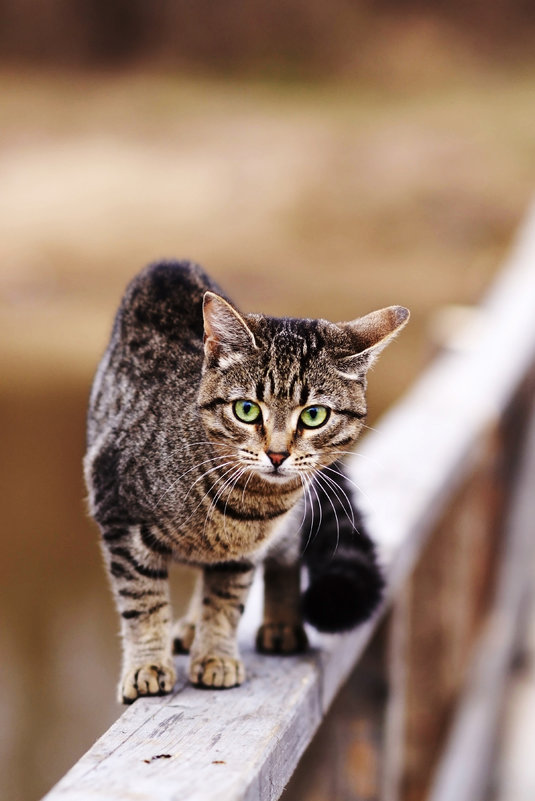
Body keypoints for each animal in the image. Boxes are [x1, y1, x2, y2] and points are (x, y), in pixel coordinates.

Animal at [85, 260, 410, 700]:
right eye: (246, 409)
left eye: (314, 415)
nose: (277, 453)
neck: (249, 506)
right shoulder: (119, 513)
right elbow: (142, 601)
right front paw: (148, 664)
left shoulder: (242, 554)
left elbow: (225, 602)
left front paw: (216, 656)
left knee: (285, 558)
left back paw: (279, 624)